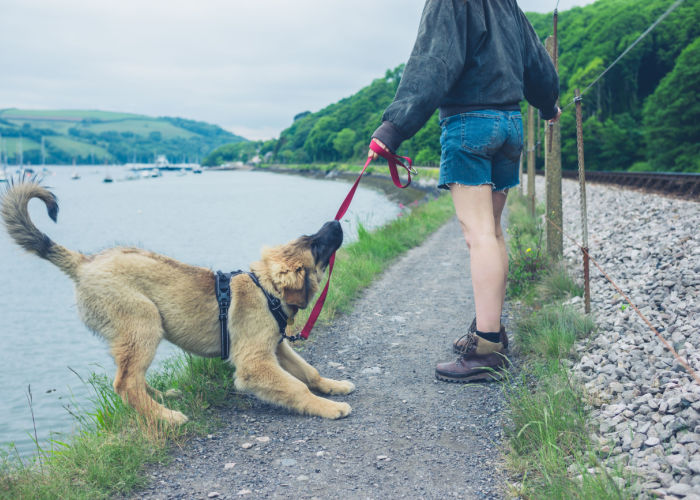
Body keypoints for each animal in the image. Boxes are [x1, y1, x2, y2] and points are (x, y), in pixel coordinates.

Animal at [2, 182, 356, 424]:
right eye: (316, 245)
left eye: (310, 237)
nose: (336, 223)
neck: (266, 289)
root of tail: (84, 263)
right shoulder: (254, 363)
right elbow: (297, 387)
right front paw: (329, 407)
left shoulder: (277, 347)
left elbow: (308, 372)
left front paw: (333, 386)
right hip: (143, 321)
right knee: (125, 383)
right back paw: (166, 417)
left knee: (134, 378)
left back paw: (163, 399)